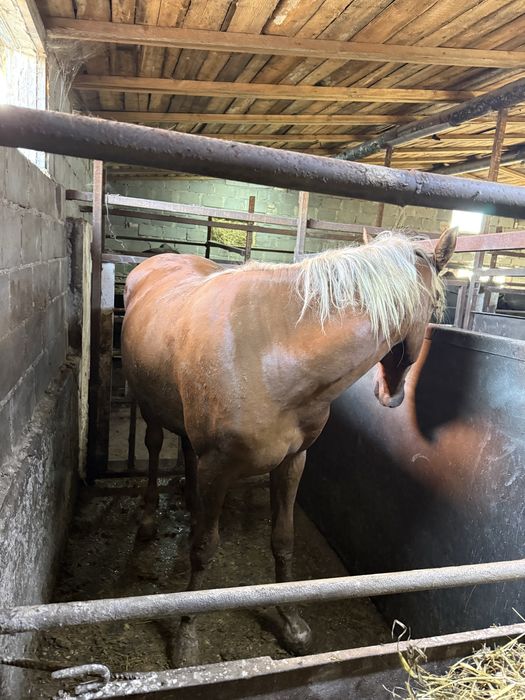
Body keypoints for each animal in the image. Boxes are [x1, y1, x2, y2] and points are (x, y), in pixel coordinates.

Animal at [121, 227, 457, 665]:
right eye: (437, 306)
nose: (391, 395)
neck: (270, 355)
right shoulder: (219, 466)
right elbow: (204, 549)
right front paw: (187, 636)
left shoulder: (293, 460)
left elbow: (283, 539)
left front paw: (291, 622)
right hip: (147, 405)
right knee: (154, 445)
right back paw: (146, 519)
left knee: (188, 452)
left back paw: (192, 503)